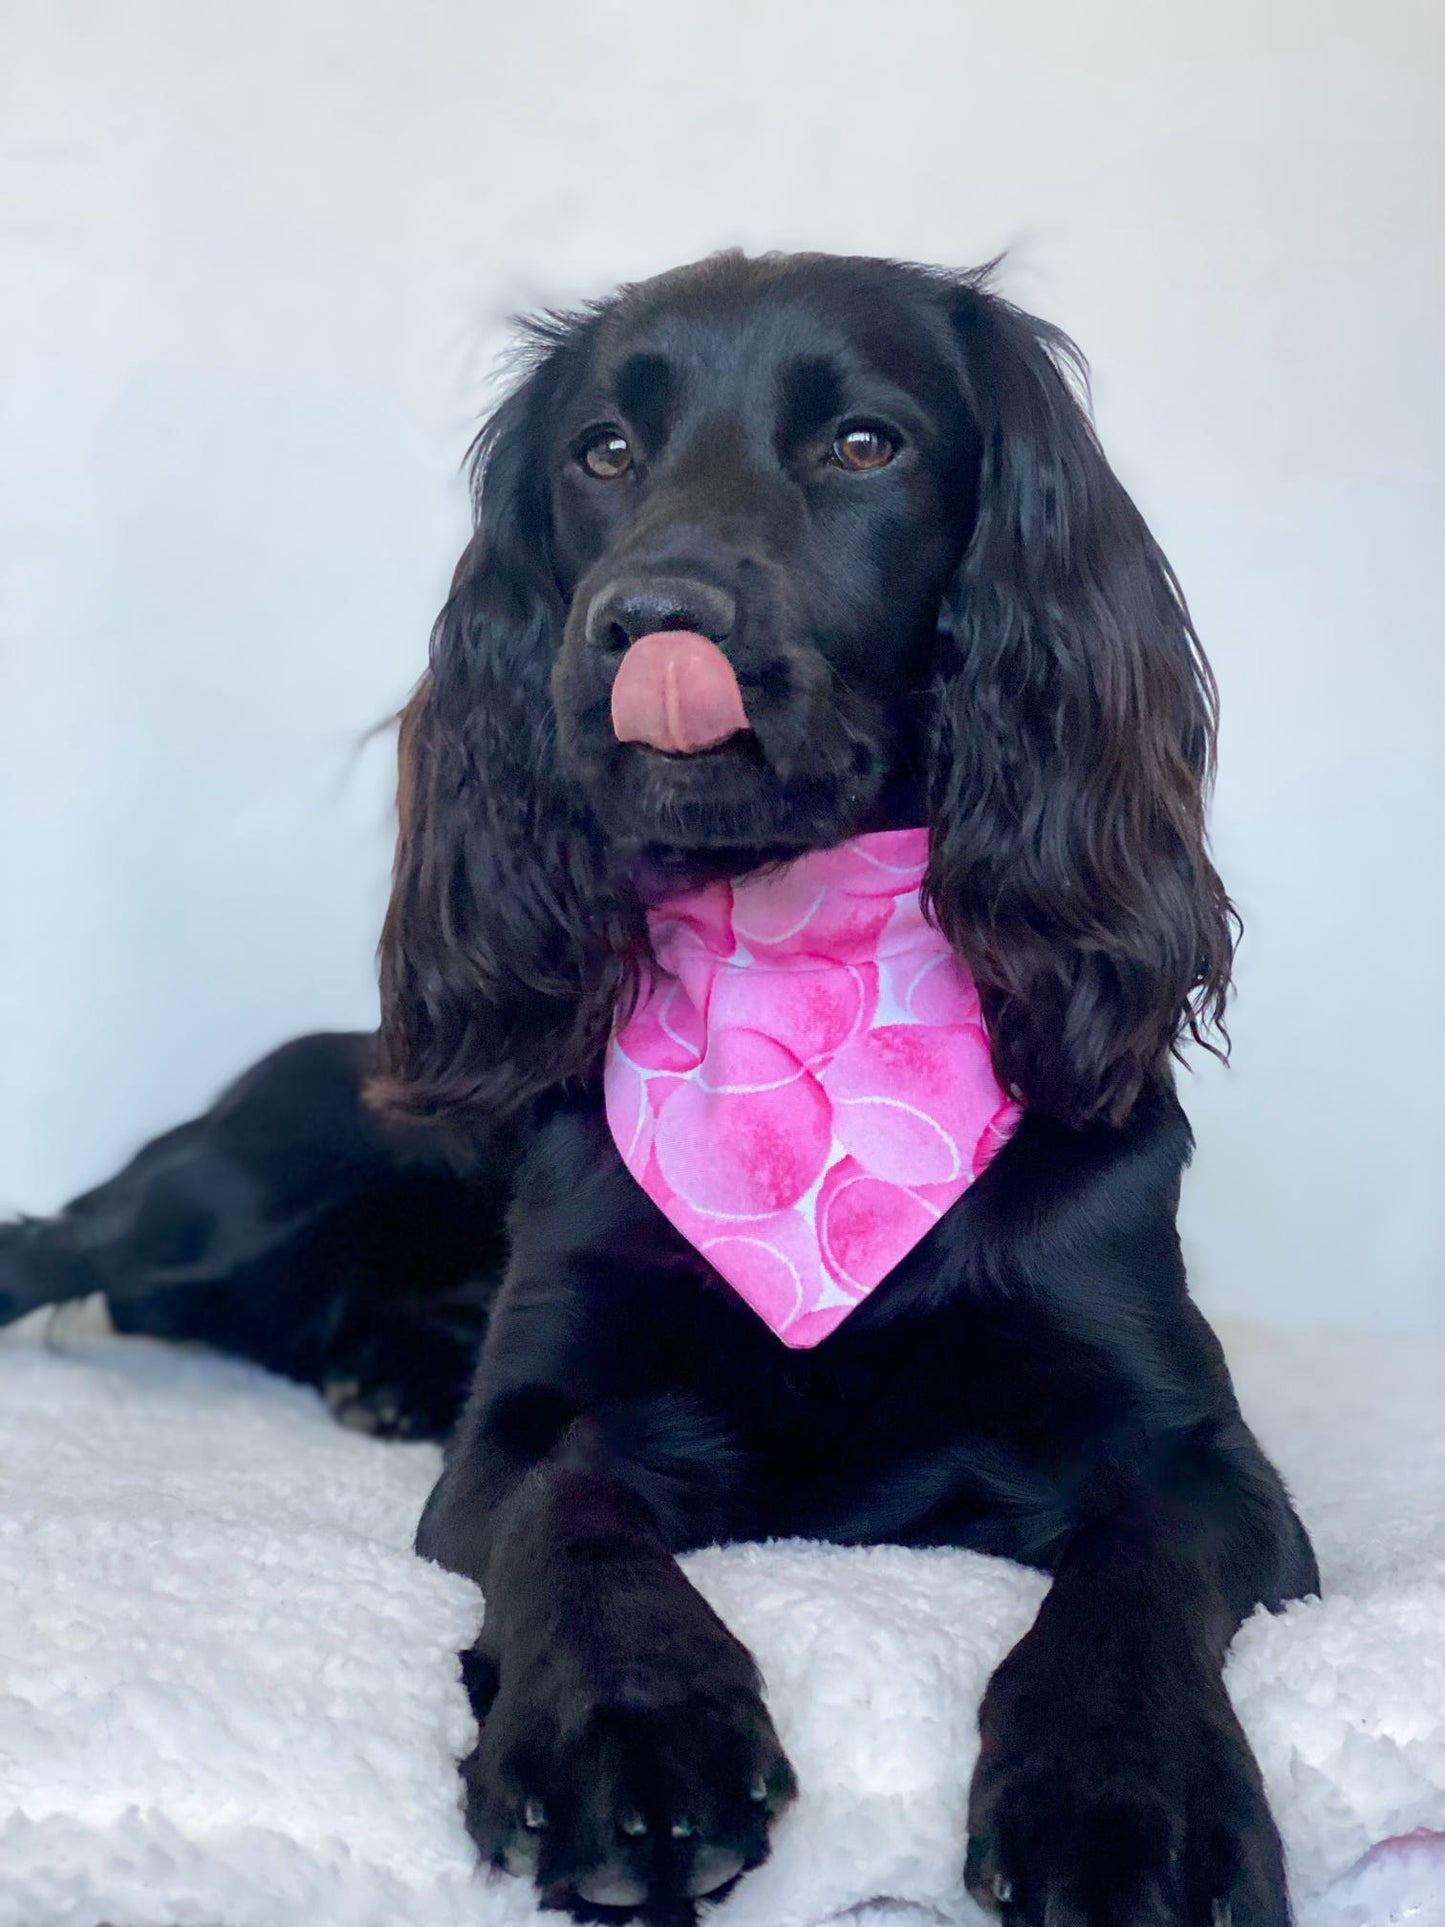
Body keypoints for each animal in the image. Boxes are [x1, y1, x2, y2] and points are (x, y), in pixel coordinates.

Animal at [0, 252, 1317, 1911]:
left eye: (866, 445)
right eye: (604, 452)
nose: (648, 622)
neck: (796, 965)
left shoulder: (1197, 1452)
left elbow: (1131, 1572)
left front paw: (1128, 1797)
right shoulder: (535, 1415)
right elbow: (578, 1514)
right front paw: (629, 1734)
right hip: (234, 1183)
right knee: (70, 1242)